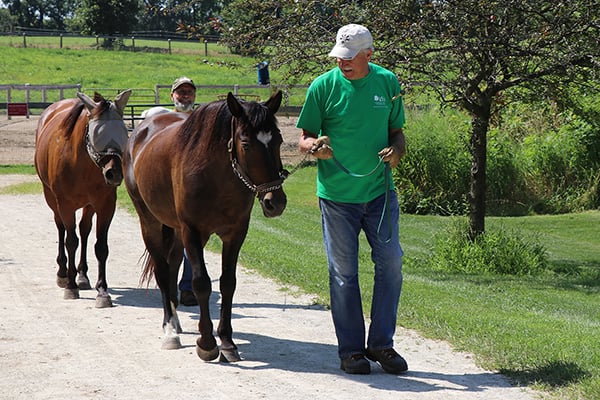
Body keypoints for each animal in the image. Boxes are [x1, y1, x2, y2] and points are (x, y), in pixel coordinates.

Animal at [35, 90, 131, 308]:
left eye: (123, 131)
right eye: (98, 133)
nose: (114, 173)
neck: (82, 164)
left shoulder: (105, 205)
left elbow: (101, 247)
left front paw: (102, 291)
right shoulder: (65, 205)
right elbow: (71, 241)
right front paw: (71, 287)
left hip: (89, 205)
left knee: (85, 229)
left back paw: (82, 276)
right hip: (52, 199)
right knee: (61, 228)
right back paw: (63, 274)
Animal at [123, 91, 288, 362]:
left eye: (279, 141)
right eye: (245, 144)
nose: (276, 202)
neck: (216, 176)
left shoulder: (235, 234)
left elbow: (228, 283)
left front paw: (228, 342)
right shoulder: (192, 232)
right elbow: (201, 283)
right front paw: (208, 343)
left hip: (176, 232)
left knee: (172, 266)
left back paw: (177, 321)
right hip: (150, 222)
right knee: (162, 271)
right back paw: (170, 330)